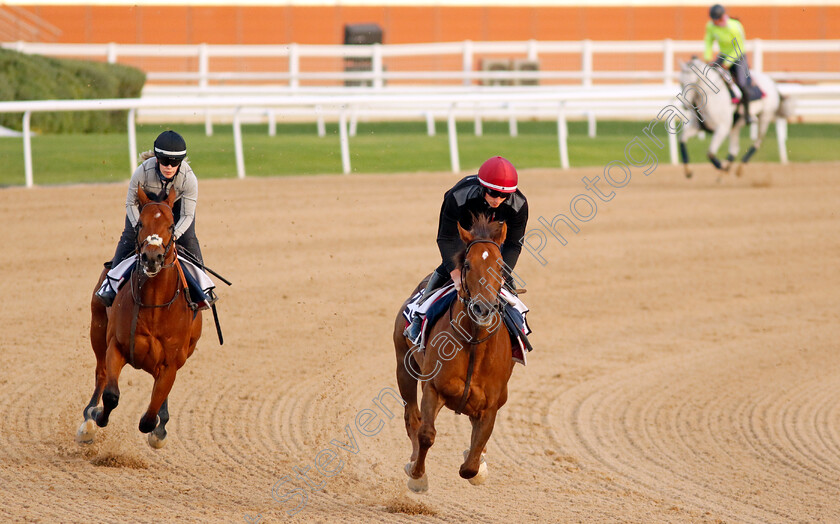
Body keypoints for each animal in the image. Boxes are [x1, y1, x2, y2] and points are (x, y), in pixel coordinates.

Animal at [78, 186, 203, 448]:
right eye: (141, 224)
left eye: (171, 225)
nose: (152, 257)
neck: (154, 305)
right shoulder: (116, 346)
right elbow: (111, 395)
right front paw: (97, 415)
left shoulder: (170, 363)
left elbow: (149, 417)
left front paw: (159, 431)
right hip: (97, 327)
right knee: (100, 373)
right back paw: (88, 422)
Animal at [392, 214, 512, 492]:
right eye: (467, 264)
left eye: (501, 267)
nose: (483, 308)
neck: (475, 343)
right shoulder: (434, 387)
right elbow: (426, 434)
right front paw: (417, 476)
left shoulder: (491, 406)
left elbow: (471, 465)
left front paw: (478, 467)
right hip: (404, 367)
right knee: (412, 417)